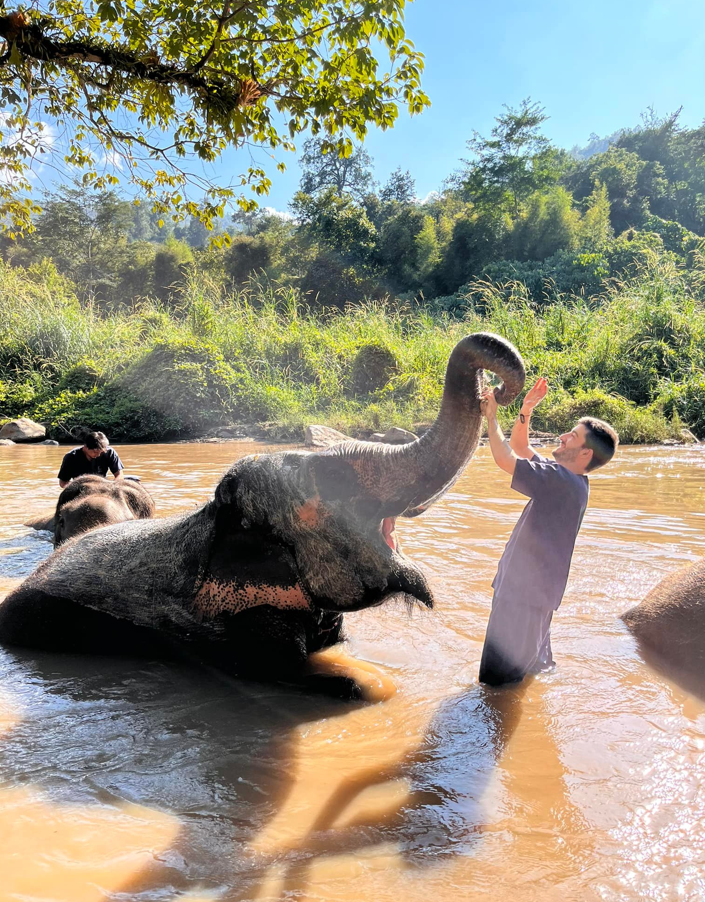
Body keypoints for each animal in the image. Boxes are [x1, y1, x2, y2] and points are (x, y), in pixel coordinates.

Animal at [0, 334, 524, 700]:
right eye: (336, 479)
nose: (497, 388)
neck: (212, 520)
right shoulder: (233, 626)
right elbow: (289, 673)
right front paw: (367, 685)